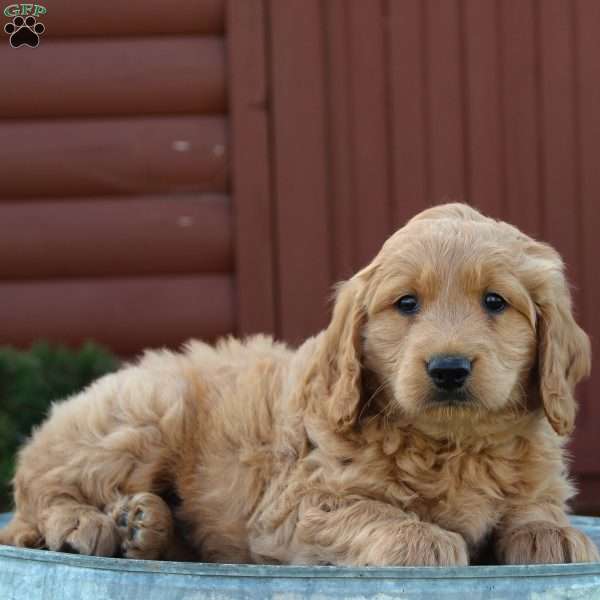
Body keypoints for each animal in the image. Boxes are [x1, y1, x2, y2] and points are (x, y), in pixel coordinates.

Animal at [1, 204, 600, 564]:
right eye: (407, 303)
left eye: (495, 302)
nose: (448, 368)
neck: (453, 444)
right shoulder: (299, 504)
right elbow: (372, 511)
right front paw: (423, 539)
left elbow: (536, 506)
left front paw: (553, 534)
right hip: (146, 412)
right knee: (40, 490)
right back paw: (86, 522)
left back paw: (143, 525)